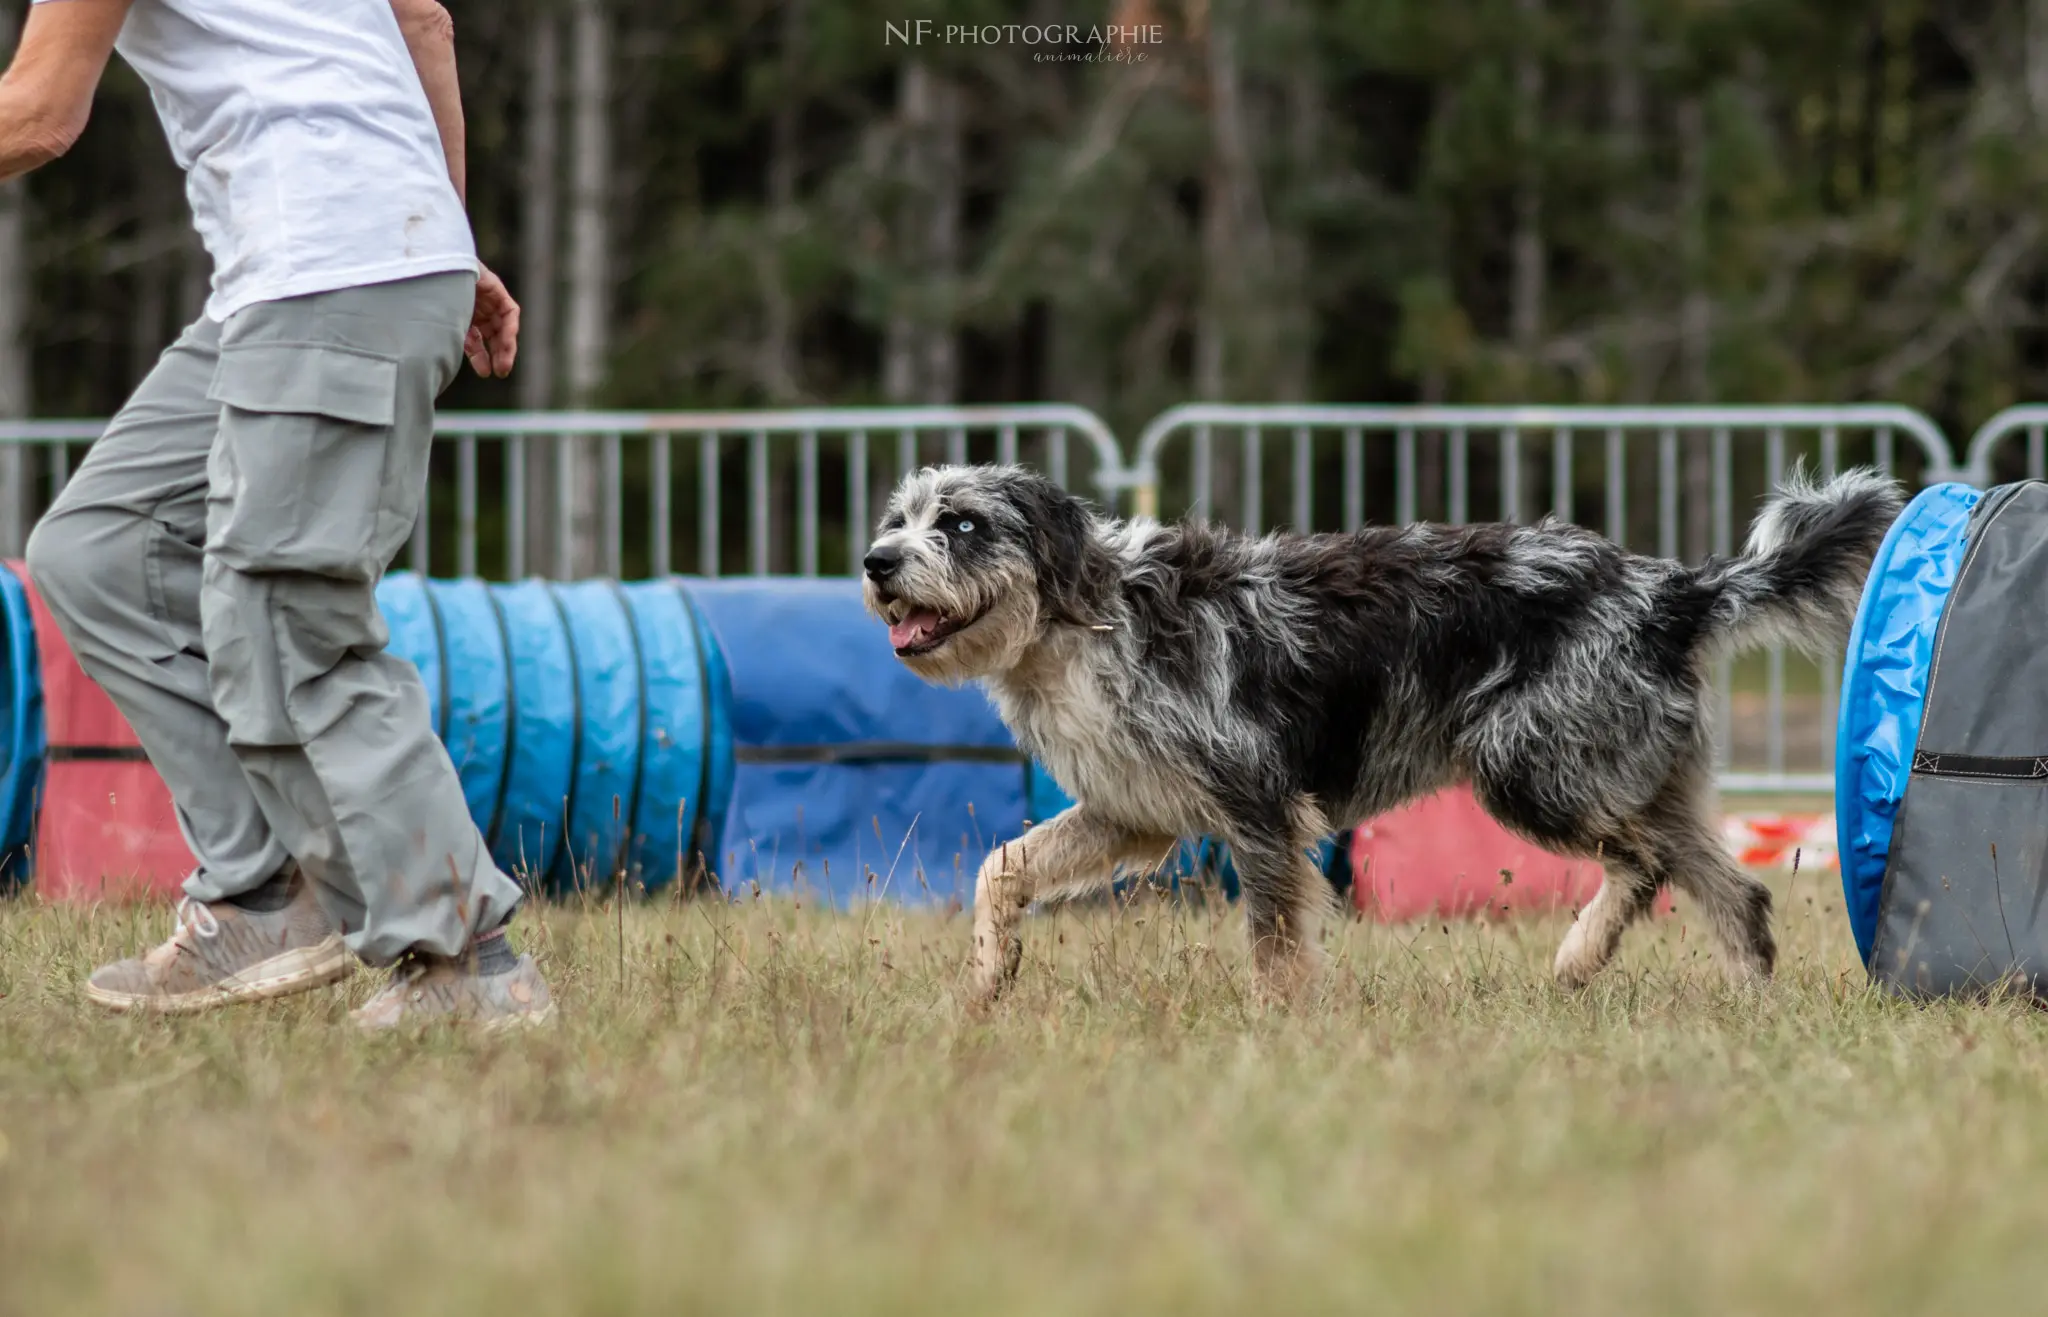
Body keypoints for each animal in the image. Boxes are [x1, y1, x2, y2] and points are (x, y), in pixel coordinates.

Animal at [864, 469, 1900, 1003]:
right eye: (898, 520)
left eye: (962, 524)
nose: (874, 562)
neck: (1081, 619)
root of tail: (1675, 588)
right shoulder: (1129, 812)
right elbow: (1001, 866)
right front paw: (988, 975)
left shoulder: (1259, 806)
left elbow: (1276, 942)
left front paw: (1277, 1026)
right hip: (1640, 778)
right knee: (1736, 891)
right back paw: (1744, 997)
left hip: (1528, 771)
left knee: (1644, 866)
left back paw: (1579, 955)